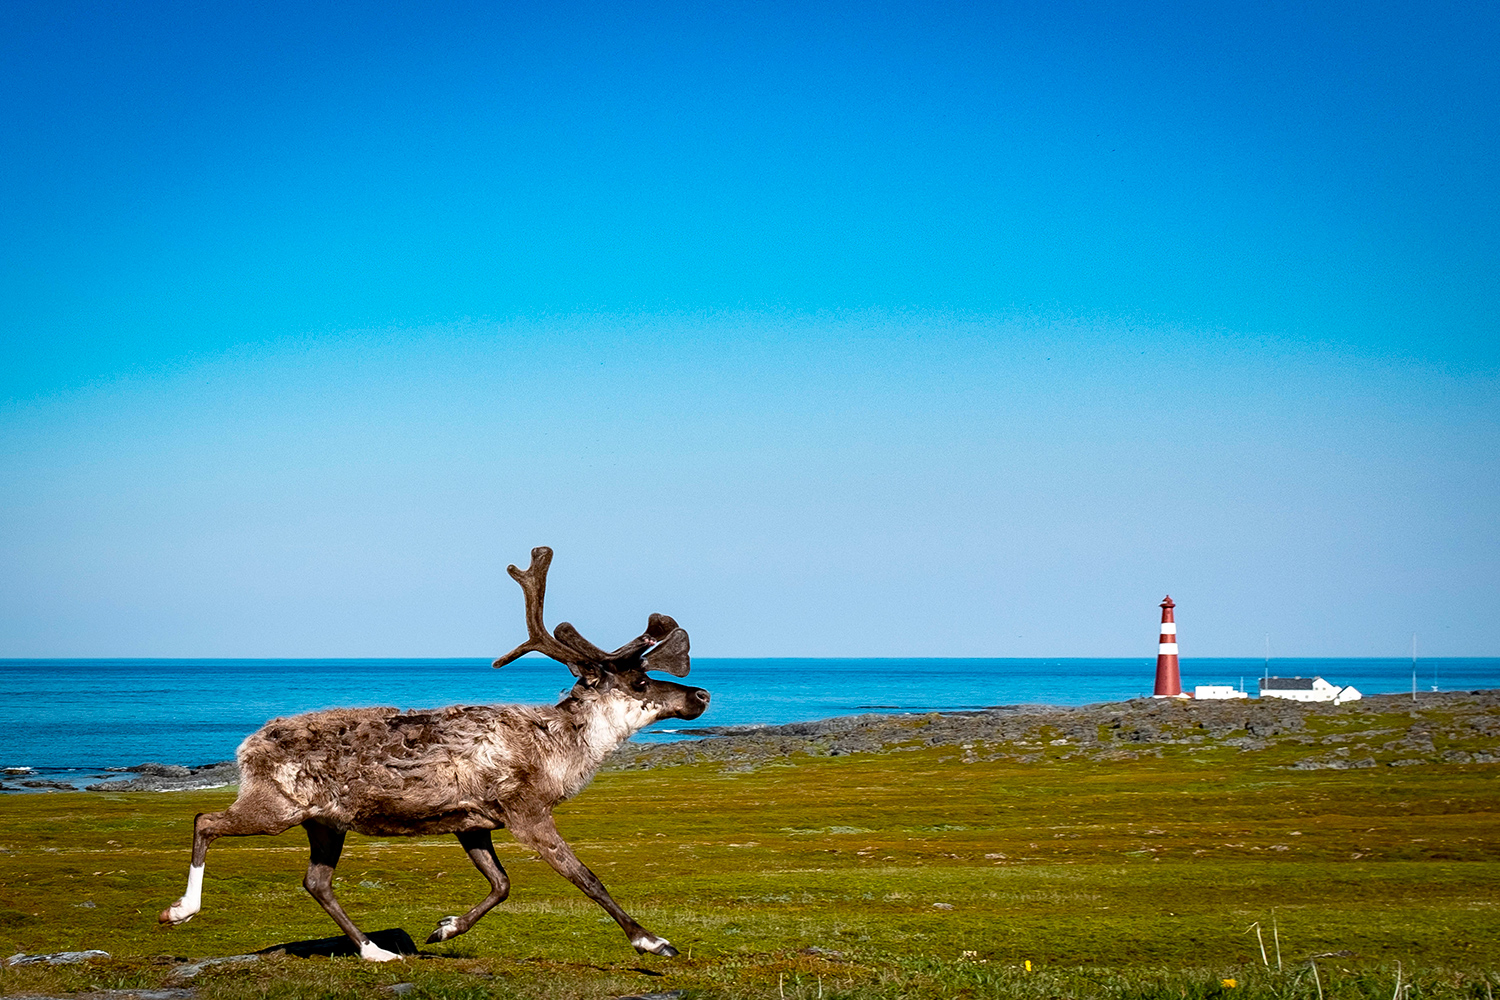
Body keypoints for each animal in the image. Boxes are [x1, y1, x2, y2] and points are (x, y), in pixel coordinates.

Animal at [158, 546, 709, 962]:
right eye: (640, 682)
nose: (701, 694)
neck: (560, 748)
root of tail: (246, 744)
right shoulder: (527, 812)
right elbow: (586, 878)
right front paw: (652, 941)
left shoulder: (473, 822)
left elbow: (502, 884)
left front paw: (444, 928)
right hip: (278, 806)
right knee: (207, 820)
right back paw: (180, 911)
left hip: (325, 822)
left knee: (316, 882)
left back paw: (375, 951)